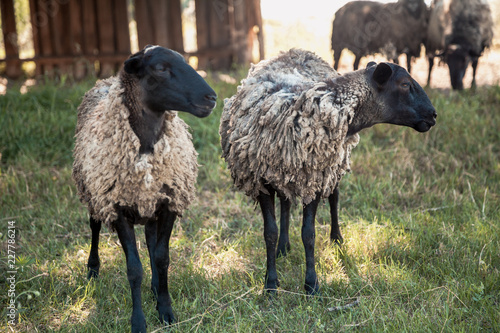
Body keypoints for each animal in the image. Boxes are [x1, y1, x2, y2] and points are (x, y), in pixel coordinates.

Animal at [72, 44, 217, 332]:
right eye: (160, 68)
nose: (211, 97)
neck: (147, 147)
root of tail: (105, 80)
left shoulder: (169, 204)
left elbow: (162, 258)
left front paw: (165, 309)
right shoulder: (117, 208)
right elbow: (134, 269)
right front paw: (138, 321)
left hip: (150, 205)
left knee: (151, 240)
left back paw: (155, 286)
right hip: (94, 193)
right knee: (94, 226)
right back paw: (93, 269)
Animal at [221, 48, 436, 294]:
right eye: (404, 84)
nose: (433, 114)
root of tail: (296, 50)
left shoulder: (316, 178)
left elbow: (309, 234)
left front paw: (311, 284)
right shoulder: (262, 181)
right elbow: (270, 233)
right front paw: (271, 284)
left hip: (333, 165)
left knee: (334, 198)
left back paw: (336, 239)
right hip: (286, 173)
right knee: (286, 201)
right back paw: (284, 247)